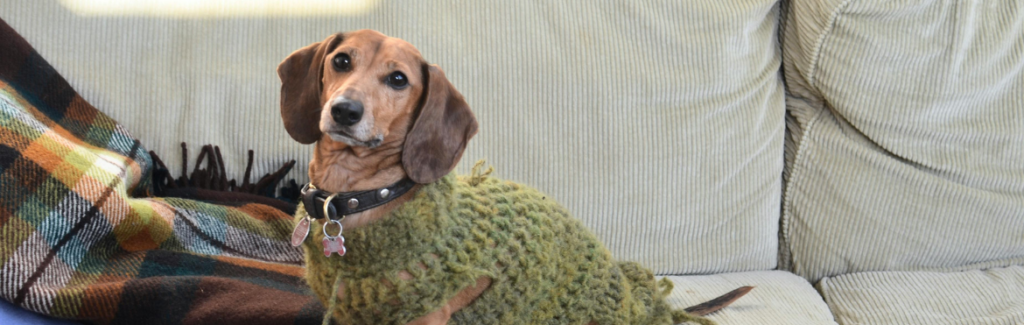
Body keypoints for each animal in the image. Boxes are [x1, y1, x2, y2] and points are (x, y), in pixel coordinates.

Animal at [276, 30, 749, 323]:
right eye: (341, 60)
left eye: (398, 79)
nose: (345, 111)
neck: (356, 197)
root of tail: (638, 303)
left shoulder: (425, 316)